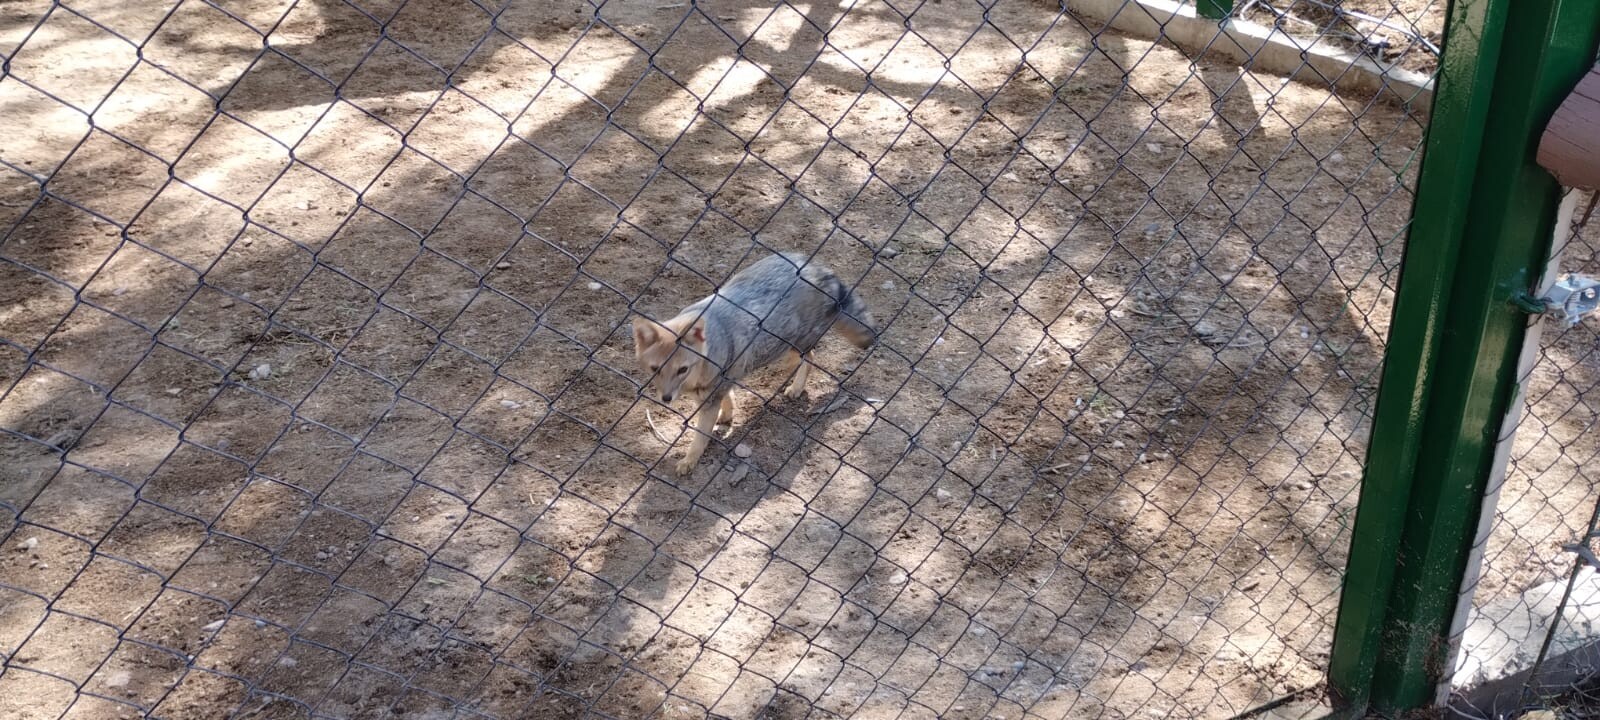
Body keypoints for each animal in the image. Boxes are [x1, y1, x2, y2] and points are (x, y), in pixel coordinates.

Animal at [632, 251, 877, 476]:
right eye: (655, 369)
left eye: (682, 369)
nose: (666, 398)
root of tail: (817, 267)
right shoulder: (719, 385)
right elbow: (728, 400)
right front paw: (726, 418)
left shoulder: (712, 395)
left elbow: (701, 437)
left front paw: (689, 460)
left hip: (796, 342)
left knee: (811, 358)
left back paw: (796, 386)